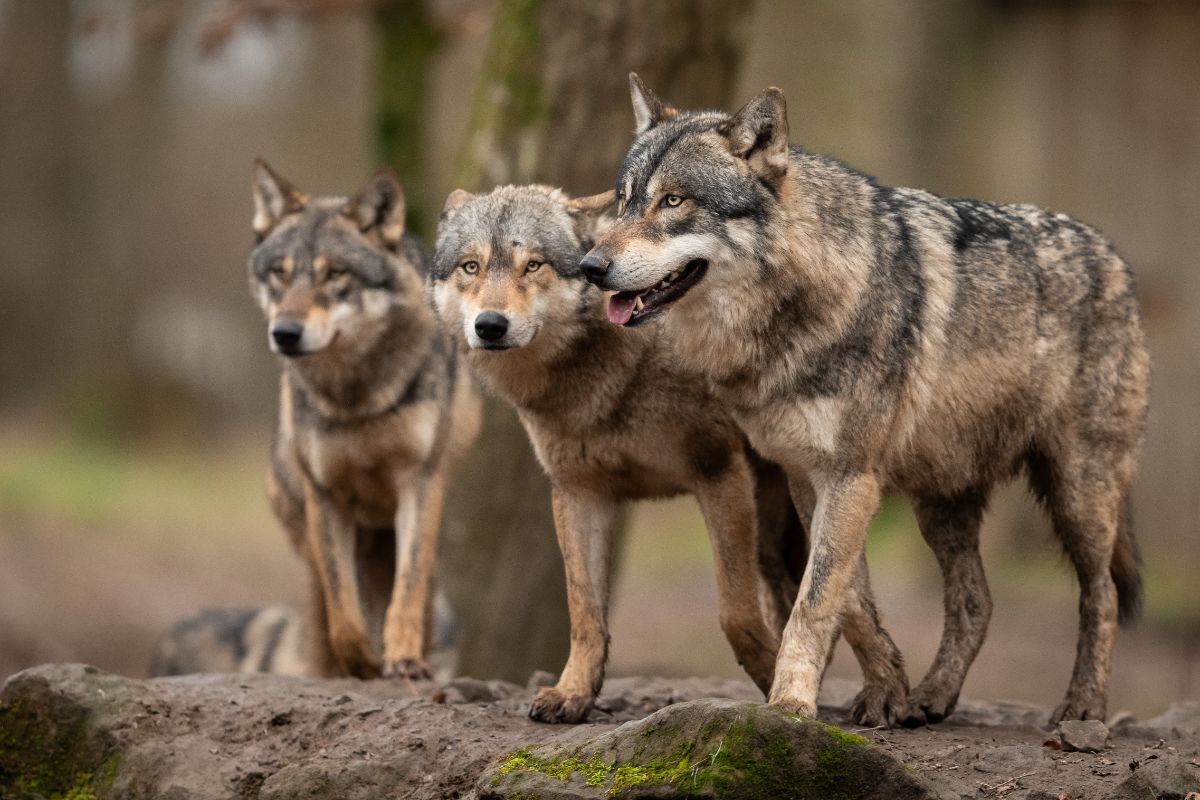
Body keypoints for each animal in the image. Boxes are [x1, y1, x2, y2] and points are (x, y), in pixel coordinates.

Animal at [250, 160, 480, 681]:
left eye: (335, 273)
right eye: (279, 273)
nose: (285, 333)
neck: (356, 399)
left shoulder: (419, 483)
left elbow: (407, 591)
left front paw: (404, 659)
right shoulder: (326, 496)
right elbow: (343, 613)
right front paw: (363, 663)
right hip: (311, 537)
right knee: (323, 612)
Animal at [432, 184, 907, 729]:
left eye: (533, 265)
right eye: (471, 267)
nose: (490, 325)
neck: (610, 374)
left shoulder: (719, 474)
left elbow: (735, 613)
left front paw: (776, 690)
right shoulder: (578, 493)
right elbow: (585, 611)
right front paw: (574, 692)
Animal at [583, 74, 1152, 724]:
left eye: (674, 202)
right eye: (624, 199)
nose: (590, 266)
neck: (792, 311)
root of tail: (1113, 255)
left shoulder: (852, 475)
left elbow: (814, 601)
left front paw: (791, 704)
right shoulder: (809, 476)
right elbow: (848, 598)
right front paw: (887, 689)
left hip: (1078, 494)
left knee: (1101, 596)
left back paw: (1082, 709)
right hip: (943, 502)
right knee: (977, 601)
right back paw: (932, 697)